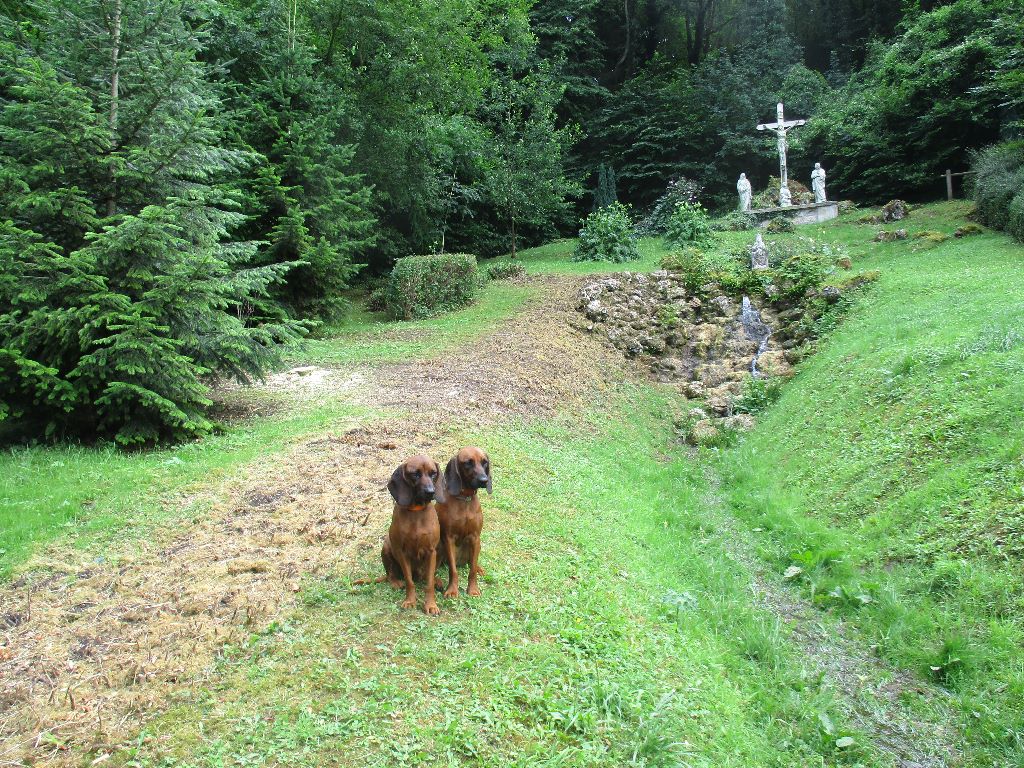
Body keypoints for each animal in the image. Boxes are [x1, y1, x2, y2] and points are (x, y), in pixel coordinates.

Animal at [374, 456, 442, 614]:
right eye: (415, 474)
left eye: (433, 473)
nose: (431, 492)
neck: (416, 511)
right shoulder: (402, 552)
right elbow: (409, 581)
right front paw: (410, 601)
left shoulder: (431, 551)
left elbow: (429, 583)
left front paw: (431, 604)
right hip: (386, 547)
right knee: (391, 574)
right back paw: (396, 582)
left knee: (427, 577)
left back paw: (438, 581)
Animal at [436, 444, 491, 602]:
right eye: (468, 463)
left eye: (484, 462)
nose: (484, 480)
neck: (465, 499)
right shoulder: (448, 538)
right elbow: (453, 570)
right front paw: (452, 590)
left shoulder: (475, 537)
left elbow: (471, 570)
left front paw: (473, 589)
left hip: (477, 545)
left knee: (472, 563)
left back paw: (479, 568)